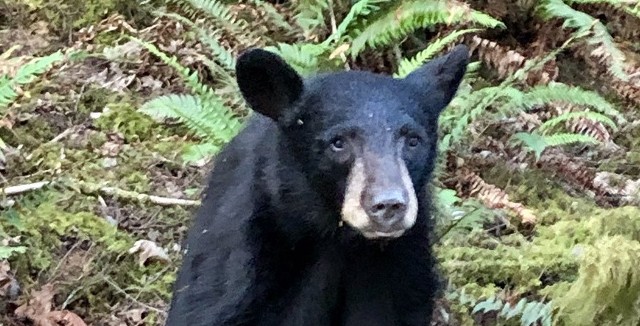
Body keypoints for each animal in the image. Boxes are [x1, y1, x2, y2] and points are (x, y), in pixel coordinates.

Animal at [165, 44, 470, 326]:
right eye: (338, 142)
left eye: (413, 140)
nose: (389, 205)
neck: (337, 237)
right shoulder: (244, 258)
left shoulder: (401, 267)